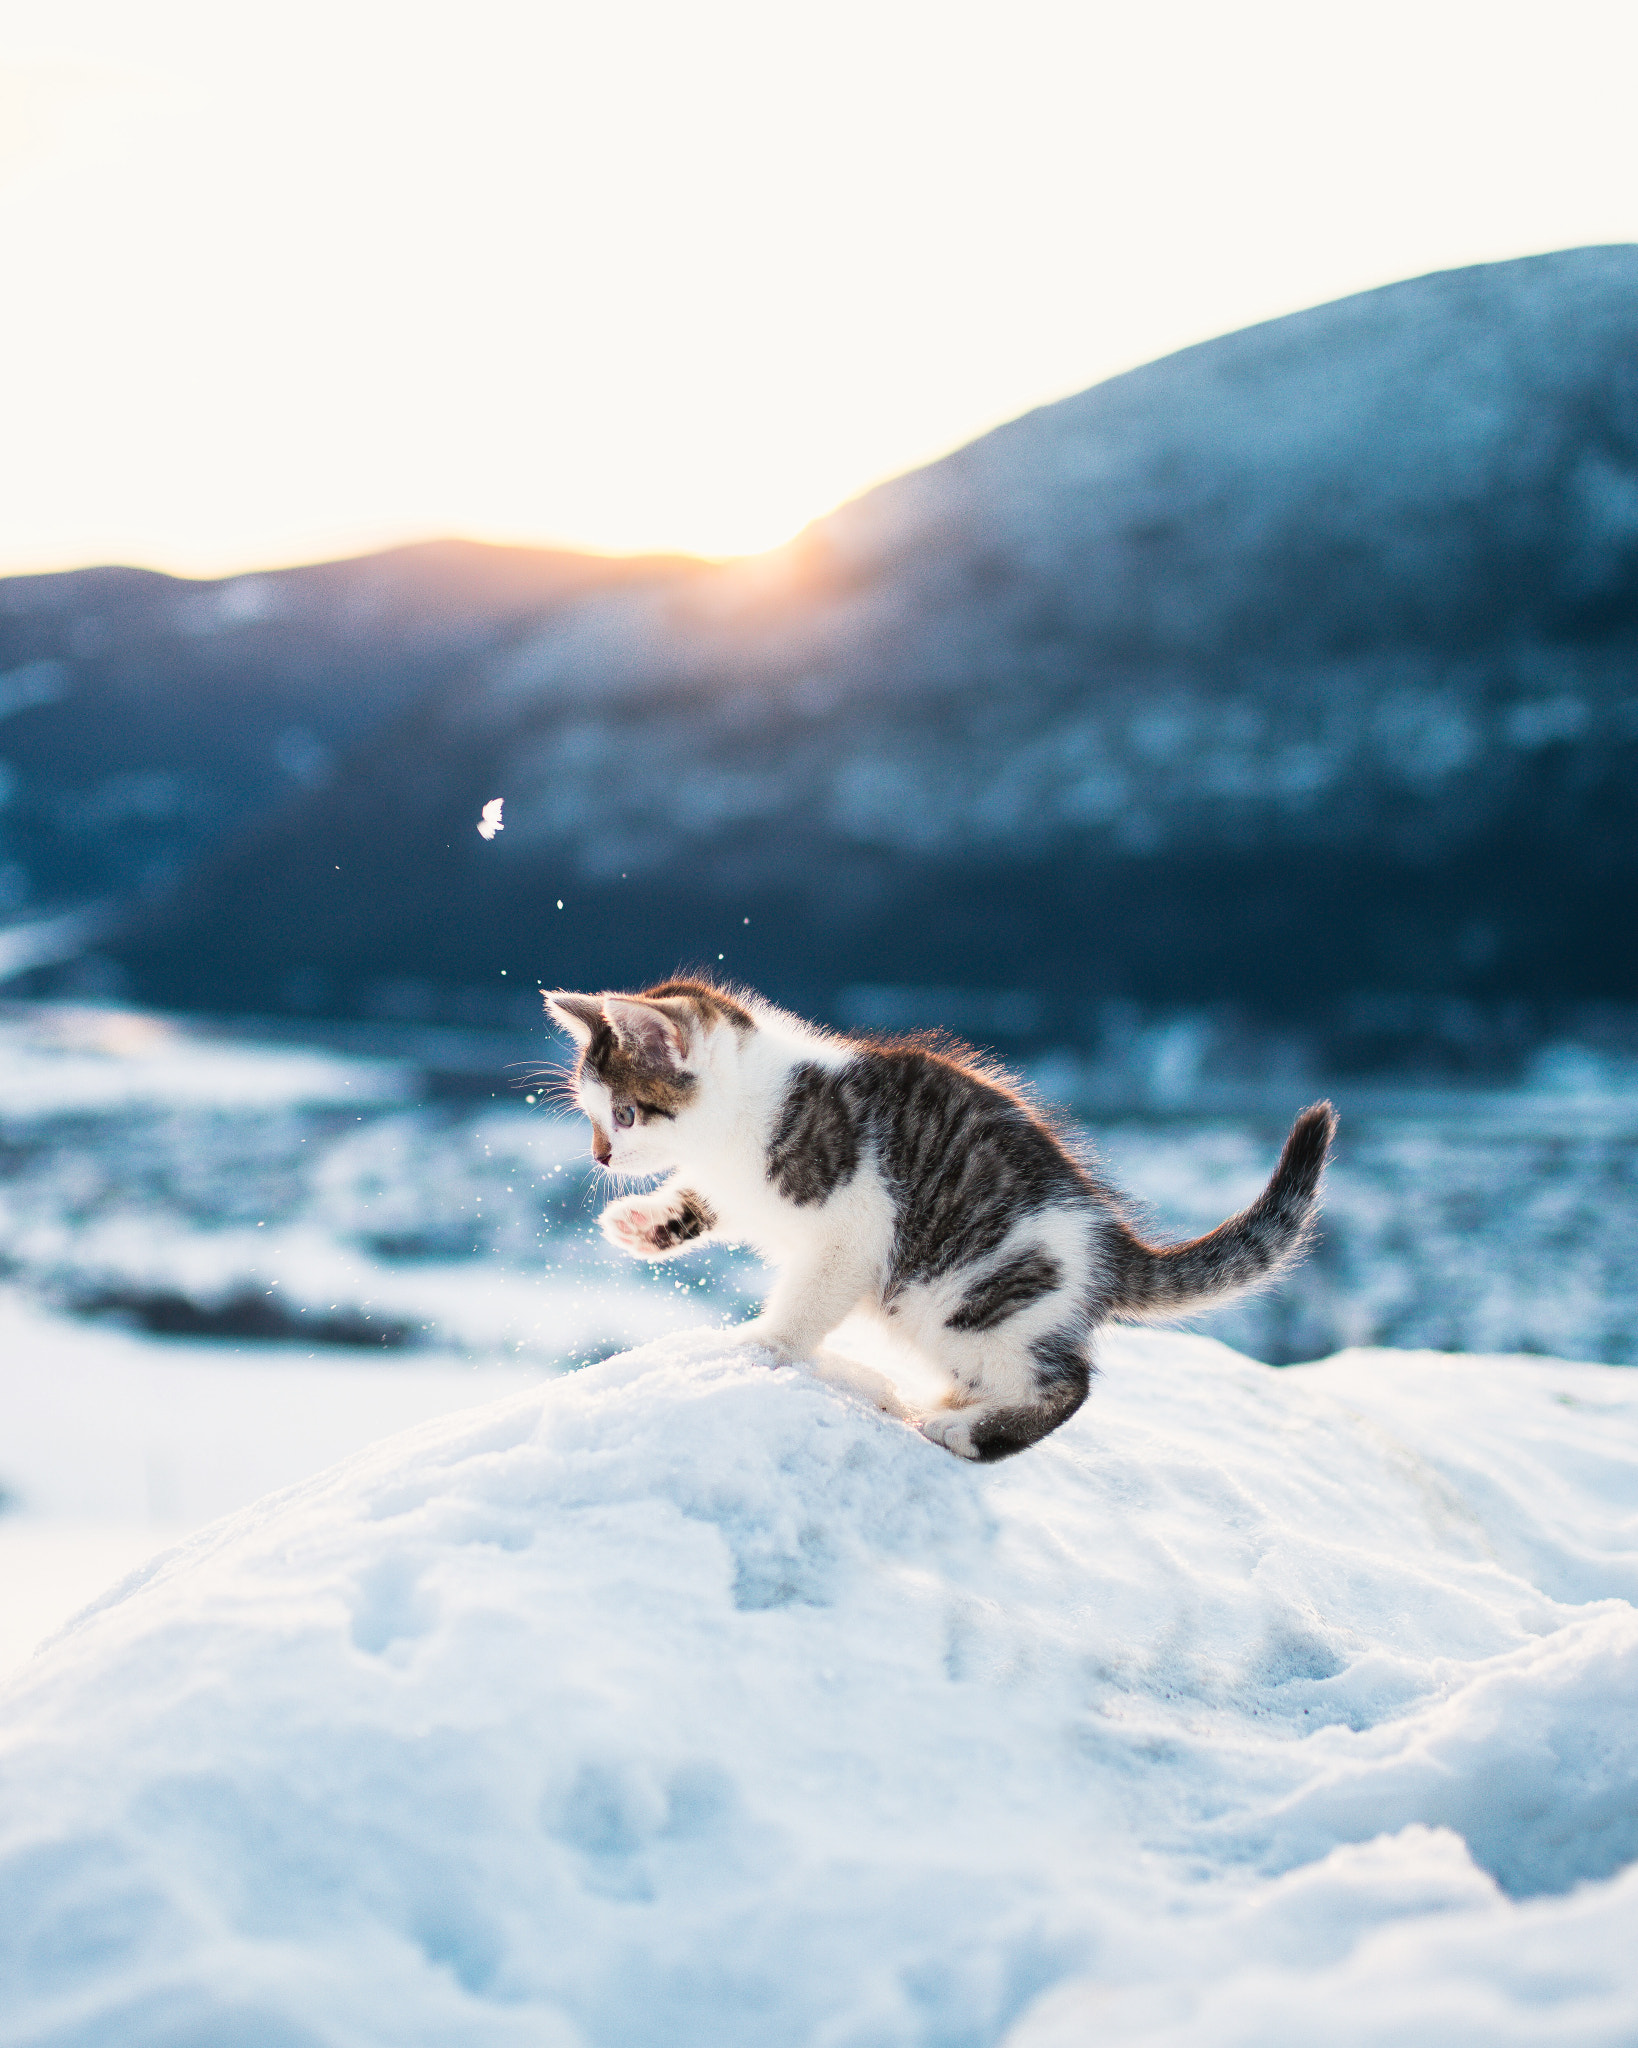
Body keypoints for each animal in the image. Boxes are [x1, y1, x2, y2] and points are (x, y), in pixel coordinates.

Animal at [544, 974, 1334, 1458]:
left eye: (624, 1114)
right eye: (593, 1116)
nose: (601, 1159)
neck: (749, 1114)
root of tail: (1108, 1241)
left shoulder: (854, 1224)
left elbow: (810, 1298)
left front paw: (764, 1346)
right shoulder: (735, 1186)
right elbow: (705, 1201)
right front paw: (648, 1225)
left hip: (973, 1296)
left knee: (1067, 1382)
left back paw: (969, 1433)